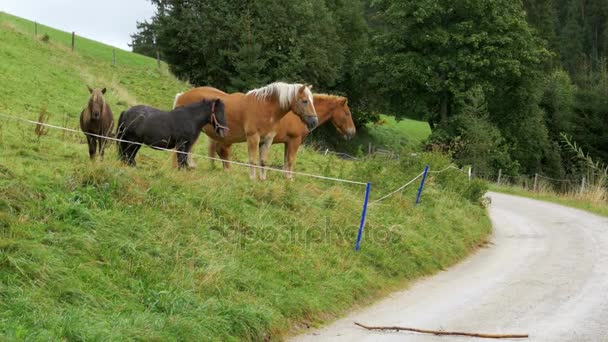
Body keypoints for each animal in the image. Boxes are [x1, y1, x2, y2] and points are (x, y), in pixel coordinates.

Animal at [173, 82, 318, 180]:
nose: (314, 122)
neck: (265, 108)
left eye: (312, 101)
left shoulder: (267, 140)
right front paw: (252, 179)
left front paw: (262, 180)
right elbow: (252, 160)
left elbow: (263, 161)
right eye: (305, 101)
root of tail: (181, 96)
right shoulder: (253, 137)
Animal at [211, 94, 358, 178]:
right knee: (222, 150)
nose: (352, 132)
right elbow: (291, 160)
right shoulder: (295, 140)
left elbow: (286, 161)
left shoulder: (288, 142)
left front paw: (285, 177)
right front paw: (290, 179)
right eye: (347, 114)